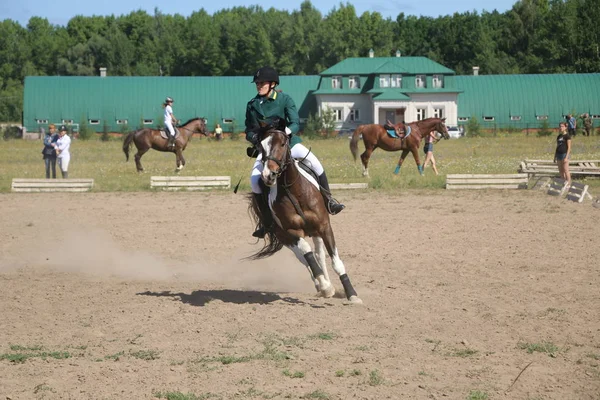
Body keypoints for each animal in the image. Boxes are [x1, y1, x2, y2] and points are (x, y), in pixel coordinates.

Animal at [248, 130, 360, 304]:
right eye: (261, 145)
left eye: (283, 144)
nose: (268, 175)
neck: (294, 192)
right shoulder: (291, 232)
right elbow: (307, 254)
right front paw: (325, 286)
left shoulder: (324, 227)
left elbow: (336, 262)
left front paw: (352, 294)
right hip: (284, 237)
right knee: (304, 258)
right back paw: (322, 285)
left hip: (315, 232)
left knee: (319, 255)